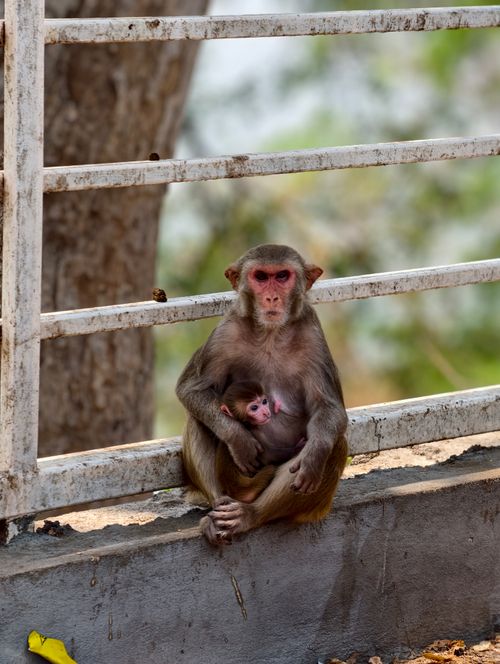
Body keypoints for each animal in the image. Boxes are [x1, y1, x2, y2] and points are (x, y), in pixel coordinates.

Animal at [176, 244, 348, 545]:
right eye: (260, 276)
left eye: (282, 276)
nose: (271, 297)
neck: (270, 333)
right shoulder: (225, 332)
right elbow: (191, 389)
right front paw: (239, 438)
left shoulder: (313, 334)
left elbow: (330, 409)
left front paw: (314, 456)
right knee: (199, 419)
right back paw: (219, 507)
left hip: (316, 507)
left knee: (335, 443)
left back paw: (250, 515)